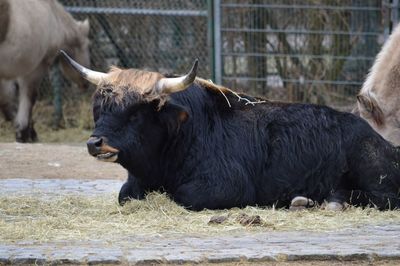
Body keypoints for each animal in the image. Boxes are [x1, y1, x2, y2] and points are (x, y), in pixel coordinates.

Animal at [0, 0, 90, 141]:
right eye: (87, 45)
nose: (85, 84)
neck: (55, 18)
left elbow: (6, 97)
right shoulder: (37, 66)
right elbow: (29, 96)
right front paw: (24, 131)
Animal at [61, 51, 400, 210]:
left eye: (134, 113)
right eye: (100, 109)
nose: (95, 143)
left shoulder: (224, 187)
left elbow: (183, 196)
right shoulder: (134, 185)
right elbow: (124, 195)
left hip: (374, 174)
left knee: (381, 197)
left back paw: (331, 199)